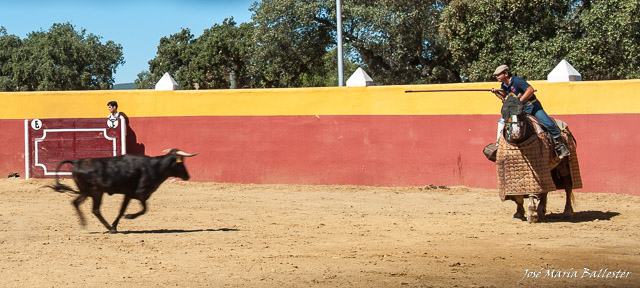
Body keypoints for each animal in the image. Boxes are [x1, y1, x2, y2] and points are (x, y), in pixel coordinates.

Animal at [48, 148, 198, 232]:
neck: (154, 167)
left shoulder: (129, 194)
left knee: (76, 203)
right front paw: (128, 217)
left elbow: (122, 210)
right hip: (96, 192)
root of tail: (76, 161)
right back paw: (107, 228)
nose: (188, 176)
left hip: (86, 192)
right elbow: (144, 209)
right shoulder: (140, 194)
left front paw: (116, 224)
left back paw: (85, 224)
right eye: (181, 162)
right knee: (95, 209)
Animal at [492, 94, 584, 223]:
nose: (516, 132)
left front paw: (532, 213)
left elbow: (533, 191)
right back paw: (541, 211)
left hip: (563, 165)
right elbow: (518, 196)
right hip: (548, 168)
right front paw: (519, 213)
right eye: (504, 112)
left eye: (521, 111)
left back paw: (567, 212)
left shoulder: (535, 170)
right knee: (546, 188)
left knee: (567, 185)